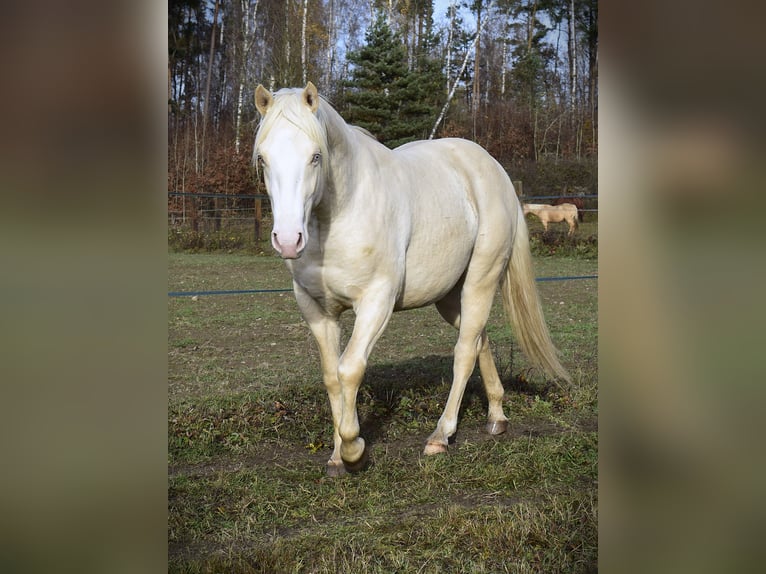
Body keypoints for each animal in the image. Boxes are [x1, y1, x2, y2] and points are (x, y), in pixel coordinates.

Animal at [253, 82, 570, 476]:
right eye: (262, 159)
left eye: (315, 156)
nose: (287, 239)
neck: (337, 216)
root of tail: (494, 171)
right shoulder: (316, 309)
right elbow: (330, 376)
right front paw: (336, 457)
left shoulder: (376, 301)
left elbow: (349, 369)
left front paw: (355, 451)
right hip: (450, 297)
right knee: (478, 338)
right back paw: (497, 416)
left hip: (481, 280)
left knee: (464, 352)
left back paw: (441, 436)